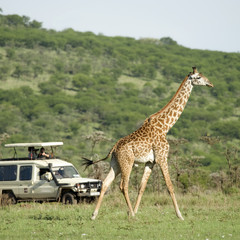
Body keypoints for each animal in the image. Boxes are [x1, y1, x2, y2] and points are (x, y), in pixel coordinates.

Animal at [82, 67, 214, 219]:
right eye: (198, 77)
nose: (210, 83)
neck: (165, 127)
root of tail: (114, 148)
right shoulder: (162, 157)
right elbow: (170, 185)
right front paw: (180, 215)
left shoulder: (150, 162)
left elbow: (142, 187)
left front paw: (136, 210)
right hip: (127, 162)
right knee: (123, 185)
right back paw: (131, 215)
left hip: (116, 164)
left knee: (105, 183)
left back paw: (94, 215)